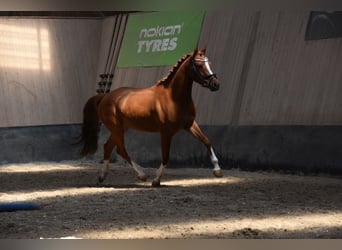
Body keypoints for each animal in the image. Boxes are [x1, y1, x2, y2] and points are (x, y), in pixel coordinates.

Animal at [81, 48, 224, 186]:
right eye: (199, 65)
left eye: (209, 64)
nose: (216, 84)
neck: (174, 97)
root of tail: (105, 96)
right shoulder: (166, 132)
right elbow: (166, 156)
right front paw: (156, 180)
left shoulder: (190, 125)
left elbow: (207, 141)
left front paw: (217, 171)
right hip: (116, 129)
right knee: (120, 149)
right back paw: (142, 175)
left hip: (120, 129)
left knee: (108, 147)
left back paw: (102, 176)